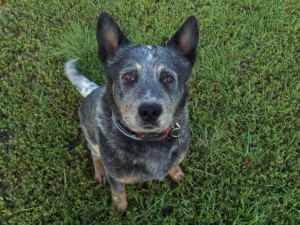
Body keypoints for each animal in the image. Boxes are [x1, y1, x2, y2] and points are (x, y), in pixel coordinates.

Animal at [64, 11, 198, 213]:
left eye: (168, 78)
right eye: (128, 76)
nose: (150, 110)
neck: (149, 141)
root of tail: (92, 91)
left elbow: (174, 165)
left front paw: (177, 174)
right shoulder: (116, 176)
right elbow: (119, 191)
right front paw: (120, 208)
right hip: (92, 139)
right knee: (94, 154)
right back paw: (99, 173)